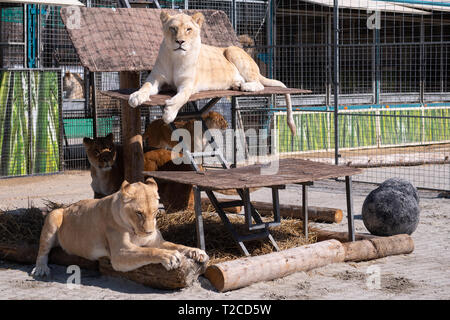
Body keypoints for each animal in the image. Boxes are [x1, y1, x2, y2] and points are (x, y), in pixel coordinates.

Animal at [31, 179, 207, 276]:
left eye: (155, 211)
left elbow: (177, 245)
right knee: (42, 252)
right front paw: (169, 256)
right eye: (139, 213)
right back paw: (41, 269)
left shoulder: (157, 241)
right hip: (54, 215)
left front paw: (197, 252)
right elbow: (148, 251)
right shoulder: (119, 253)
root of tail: (67, 207)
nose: (149, 232)